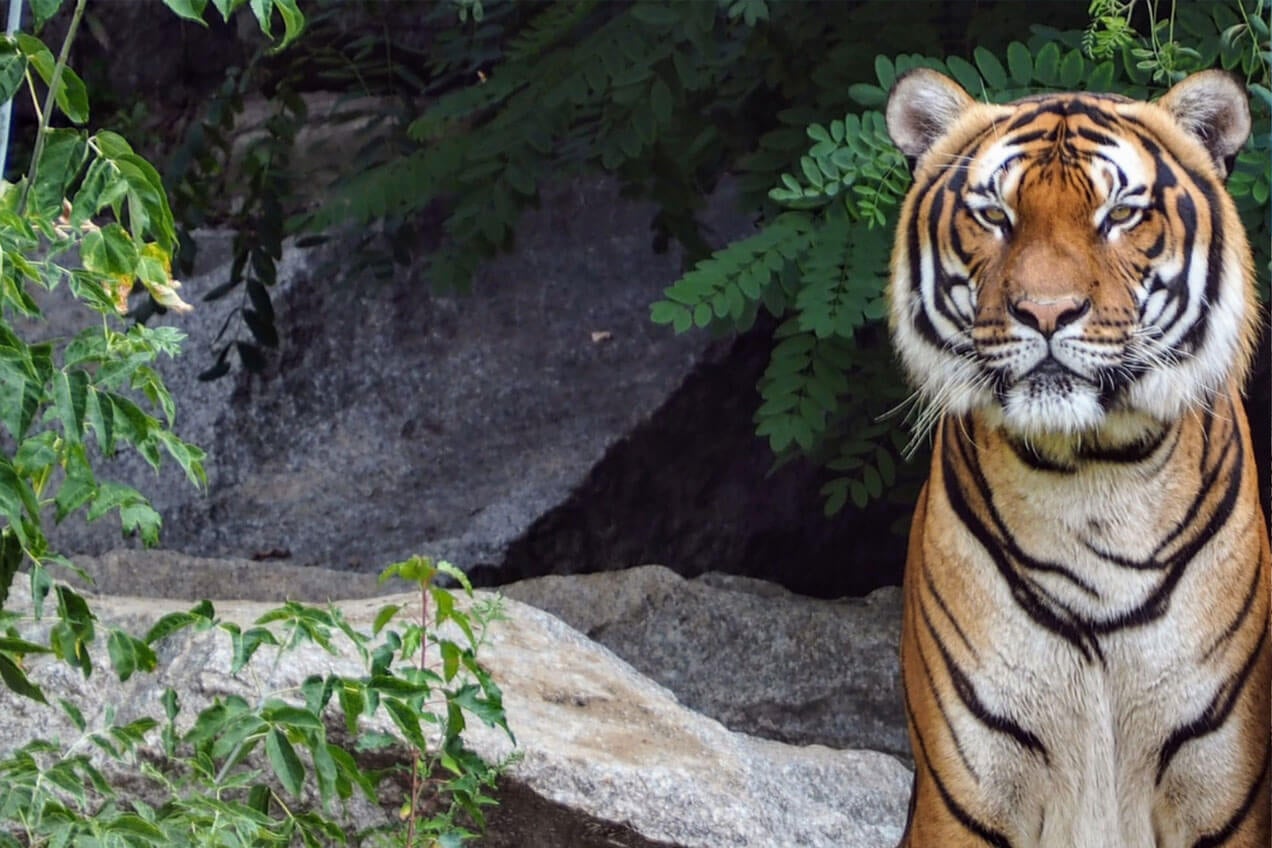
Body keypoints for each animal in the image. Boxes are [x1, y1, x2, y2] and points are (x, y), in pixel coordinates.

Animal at [885, 69, 1272, 848]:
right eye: (994, 214)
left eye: (1119, 213)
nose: (1046, 311)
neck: (1092, 480)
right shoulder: (967, 792)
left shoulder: (1225, 789)